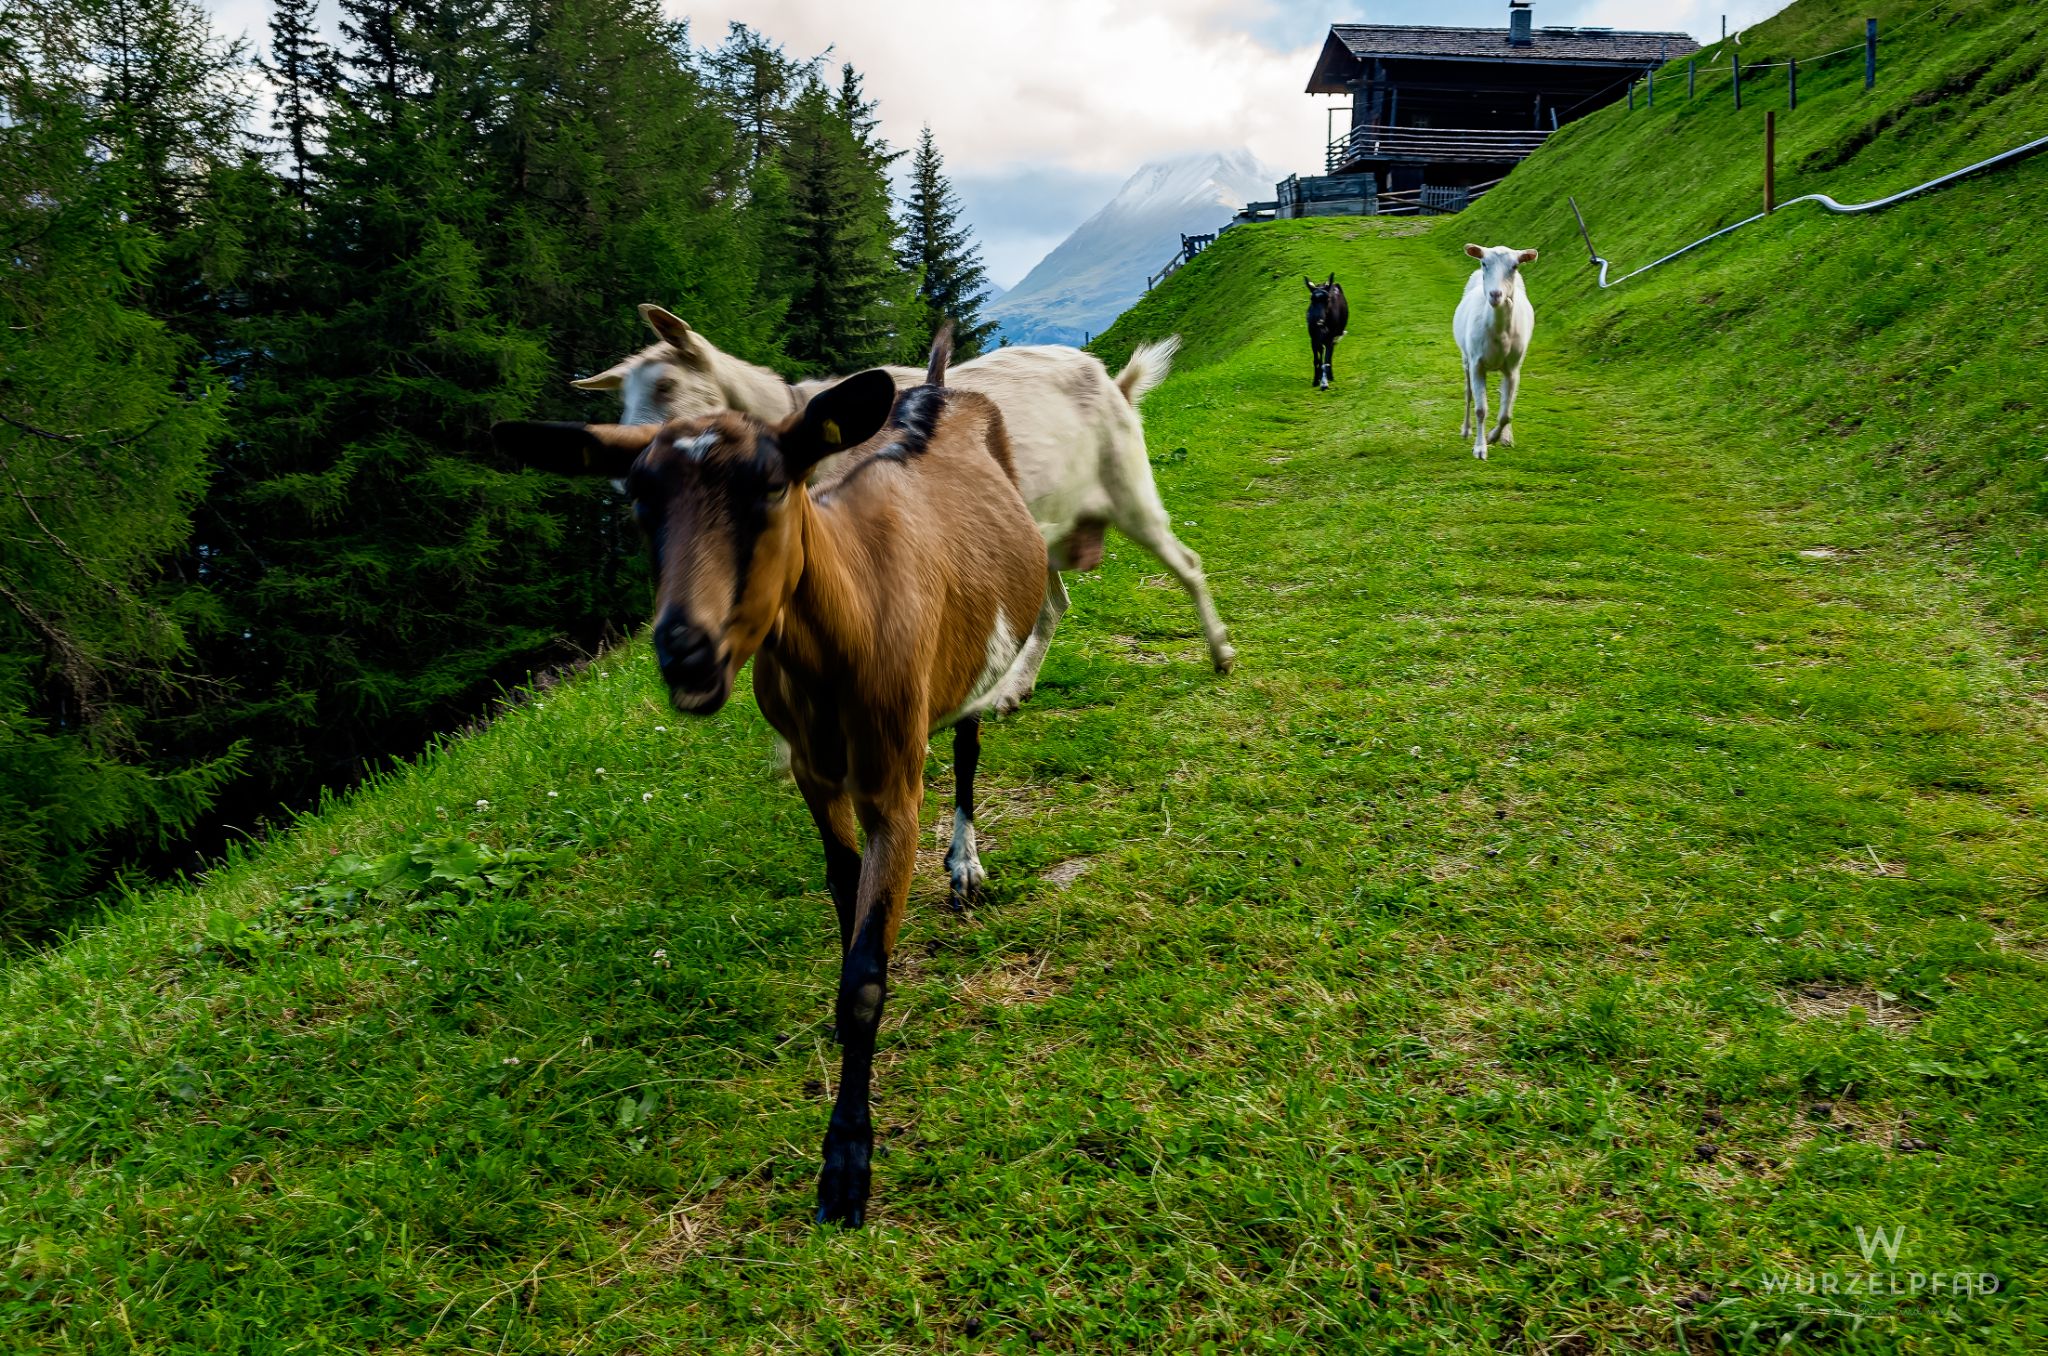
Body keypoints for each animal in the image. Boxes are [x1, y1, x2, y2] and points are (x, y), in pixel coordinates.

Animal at [493, 329, 1048, 1228]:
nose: (686, 652)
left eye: (770, 484)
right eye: (639, 503)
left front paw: (847, 1164)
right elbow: (845, 896)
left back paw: (965, 863)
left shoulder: (892, 779)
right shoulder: (817, 777)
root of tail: (936, 392)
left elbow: (864, 981)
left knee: (966, 746)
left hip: (974, 664)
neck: (845, 621)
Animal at [575, 305, 1234, 705]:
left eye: (666, 385)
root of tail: (1111, 380)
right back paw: (1011, 690)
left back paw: (1222, 653)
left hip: (1129, 491)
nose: (625, 476)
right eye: (621, 398)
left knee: (1187, 563)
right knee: (1054, 606)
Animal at [1454, 244, 1538, 460]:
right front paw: (1480, 448)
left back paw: (1506, 437)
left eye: (1515, 266)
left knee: (1506, 399)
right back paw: (1465, 430)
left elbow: (1506, 413)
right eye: (1484, 263)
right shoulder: (1477, 362)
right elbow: (1481, 409)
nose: (1495, 295)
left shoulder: (1513, 367)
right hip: (1466, 358)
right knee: (1468, 393)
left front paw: (1494, 437)